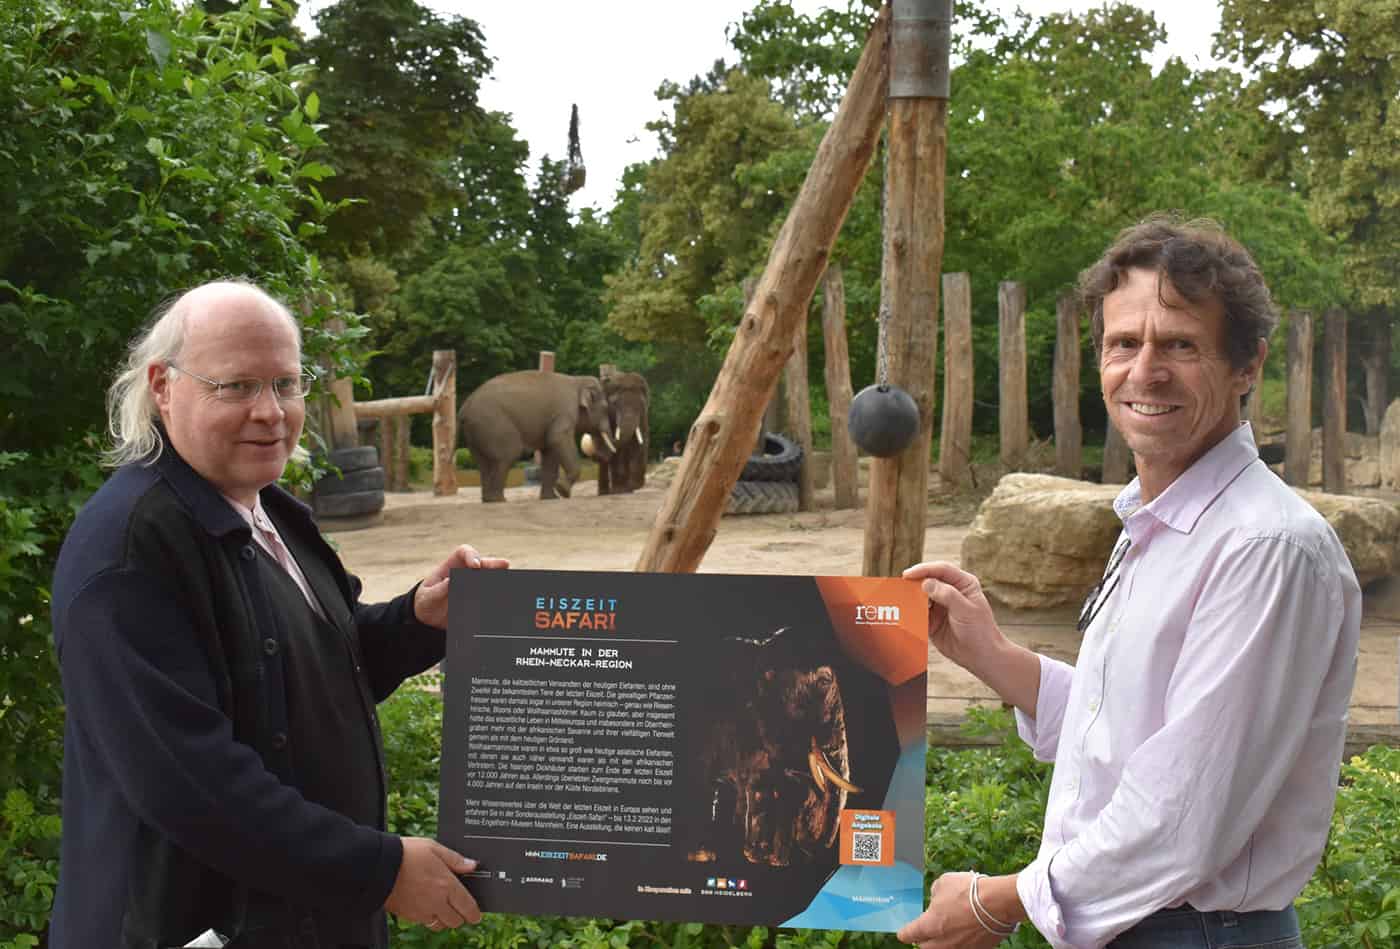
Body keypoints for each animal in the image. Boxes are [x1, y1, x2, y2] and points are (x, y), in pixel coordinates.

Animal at [459, 372, 613, 506]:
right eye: (605, 408)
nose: (597, 457)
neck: (578, 380)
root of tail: (465, 408)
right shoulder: (564, 413)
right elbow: (557, 438)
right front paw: (562, 492)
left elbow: (550, 452)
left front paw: (551, 498)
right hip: (494, 425)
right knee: (507, 455)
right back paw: (498, 500)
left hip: (476, 433)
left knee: (483, 463)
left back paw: (488, 500)